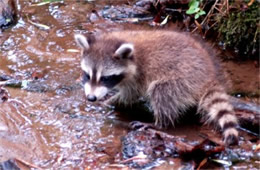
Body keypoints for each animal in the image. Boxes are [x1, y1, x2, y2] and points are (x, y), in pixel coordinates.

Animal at [74, 30, 239, 145]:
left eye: (105, 78)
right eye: (87, 75)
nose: (91, 98)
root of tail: (209, 75)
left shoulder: (139, 75)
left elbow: (130, 95)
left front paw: (109, 102)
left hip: (184, 79)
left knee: (161, 91)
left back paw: (159, 124)